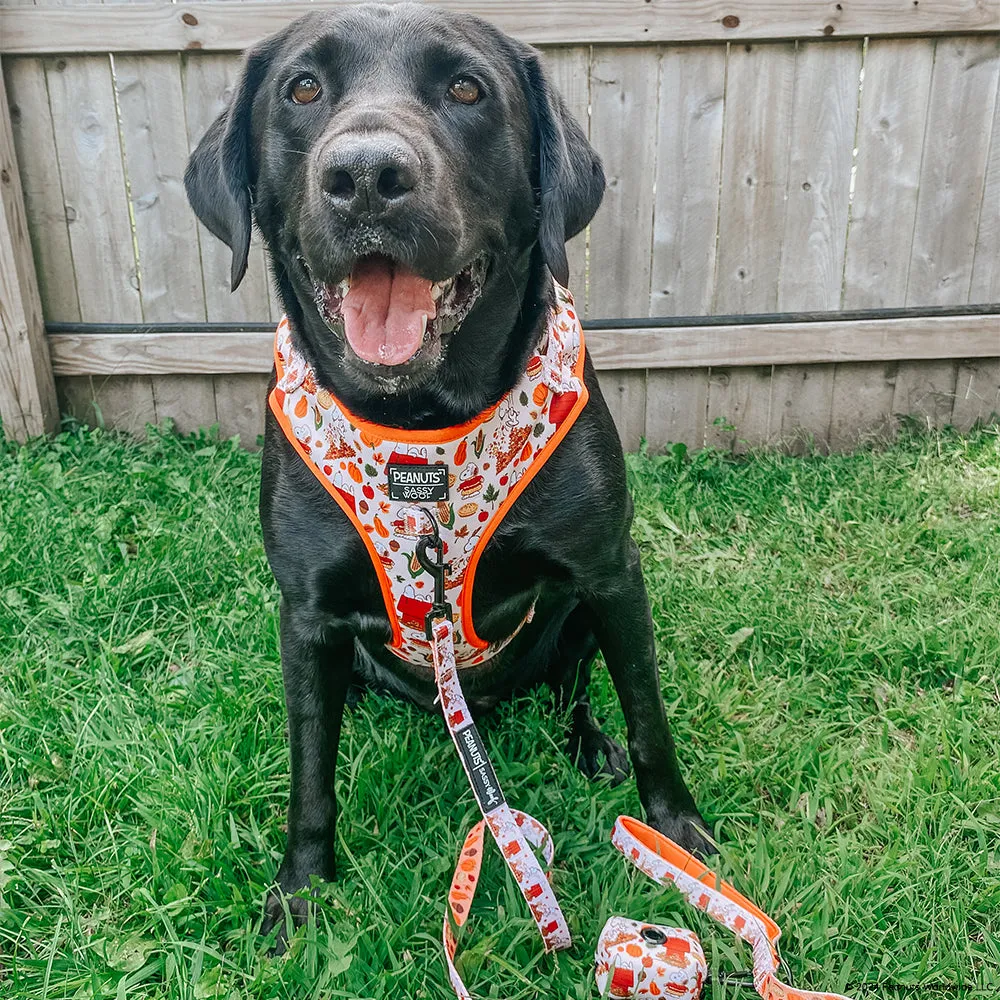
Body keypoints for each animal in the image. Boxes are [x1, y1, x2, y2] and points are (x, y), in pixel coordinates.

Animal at [182, 1, 712, 936]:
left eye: (466, 88)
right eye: (302, 89)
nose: (365, 175)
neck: (421, 427)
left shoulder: (612, 570)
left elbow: (647, 709)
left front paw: (676, 831)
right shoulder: (305, 612)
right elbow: (309, 775)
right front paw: (301, 891)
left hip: (579, 615)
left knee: (575, 689)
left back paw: (589, 745)